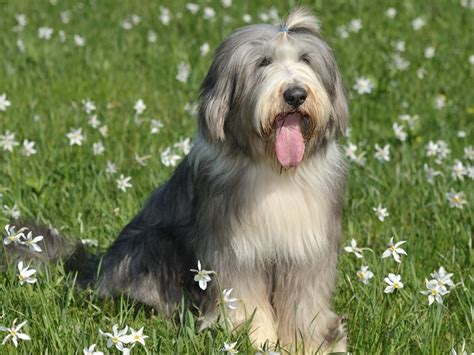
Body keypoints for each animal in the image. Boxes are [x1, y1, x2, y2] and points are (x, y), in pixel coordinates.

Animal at [1, 6, 348, 354]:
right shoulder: (233, 253)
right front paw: (255, 342)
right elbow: (245, 302)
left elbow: (304, 304)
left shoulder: (307, 253)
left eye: (305, 59)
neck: (272, 169)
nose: (295, 94)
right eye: (263, 62)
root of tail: (94, 268)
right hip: (151, 244)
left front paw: (313, 344)